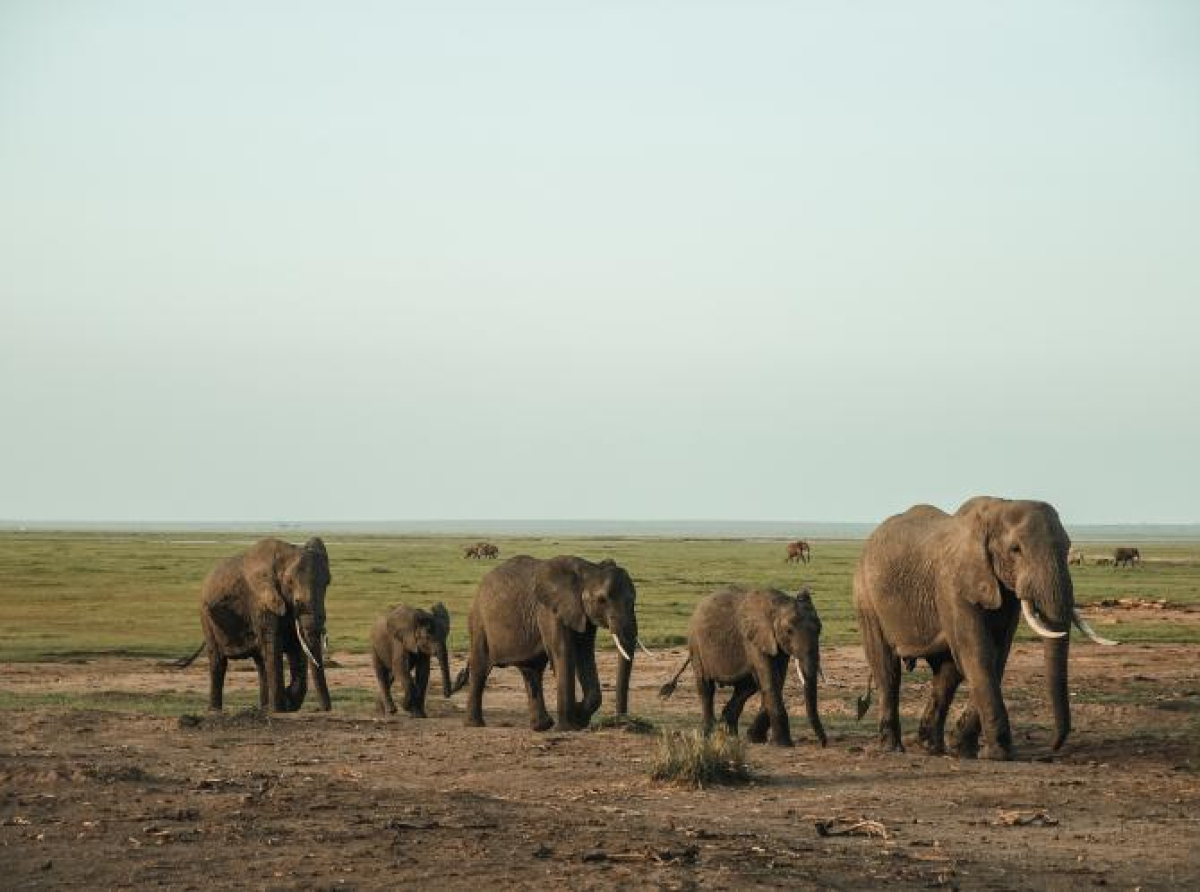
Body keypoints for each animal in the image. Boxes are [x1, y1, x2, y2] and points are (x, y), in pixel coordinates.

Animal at [174, 537, 333, 710]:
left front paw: (287, 701)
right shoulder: (260, 602)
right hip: (206, 617)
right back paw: (215, 710)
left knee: (261, 663)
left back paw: (264, 707)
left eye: (327, 582)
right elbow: (274, 647)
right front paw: (280, 708)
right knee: (218, 662)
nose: (325, 709)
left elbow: (296, 646)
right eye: (290, 583)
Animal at [456, 557, 648, 734]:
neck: (588, 570)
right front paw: (568, 727)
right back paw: (474, 725)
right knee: (480, 667)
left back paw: (541, 726)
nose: (622, 722)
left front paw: (579, 717)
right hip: (478, 622)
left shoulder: (582, 614)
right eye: (602, 600)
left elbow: (585, 654)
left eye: (633, 599)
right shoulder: (549, 611)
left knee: (531, 670)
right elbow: (564, 652)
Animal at [657, 585, 825, 744]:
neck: (778, 605)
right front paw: (783, 744)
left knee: (746, 687)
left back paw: (727, 732)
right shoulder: (753, 639)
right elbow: (770, 680)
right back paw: (710, 733)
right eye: (789, 631)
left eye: (820, 629)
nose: (823, 743)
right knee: (706, 686)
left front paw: (755, 739)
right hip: (696, 644)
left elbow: (777, 680)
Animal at [854, 494, 1113, 758]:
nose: (1051, 748)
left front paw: (964, 750)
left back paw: (931, 747)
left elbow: (996, 657)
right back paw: (892, 748)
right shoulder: (953, 585)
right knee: (887, 669)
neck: (997, 510)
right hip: (866, 597)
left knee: (946, 674)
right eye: (1015, 549)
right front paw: (999, 754)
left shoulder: (1005, 594)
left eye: (1067, 547)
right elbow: (978, 655)